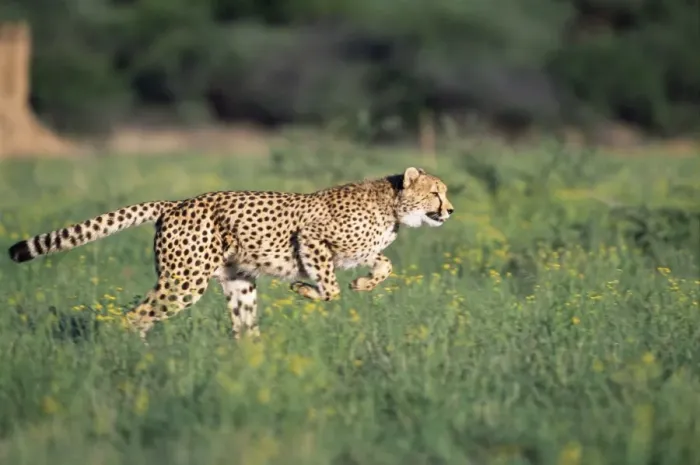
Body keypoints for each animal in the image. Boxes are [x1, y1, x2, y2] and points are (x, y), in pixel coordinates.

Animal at [8, 167, 454, 341]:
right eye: (436, 192)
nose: (450, 210)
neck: (393, 205)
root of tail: (176, 202)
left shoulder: (361, 250)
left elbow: (384, 264)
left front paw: (364, 283)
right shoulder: (311, 236)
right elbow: (328, 287)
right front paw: (304, 290)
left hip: (238, 282)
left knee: (243, 329)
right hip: (185, 281)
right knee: (135, 317)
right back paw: (135, 357)